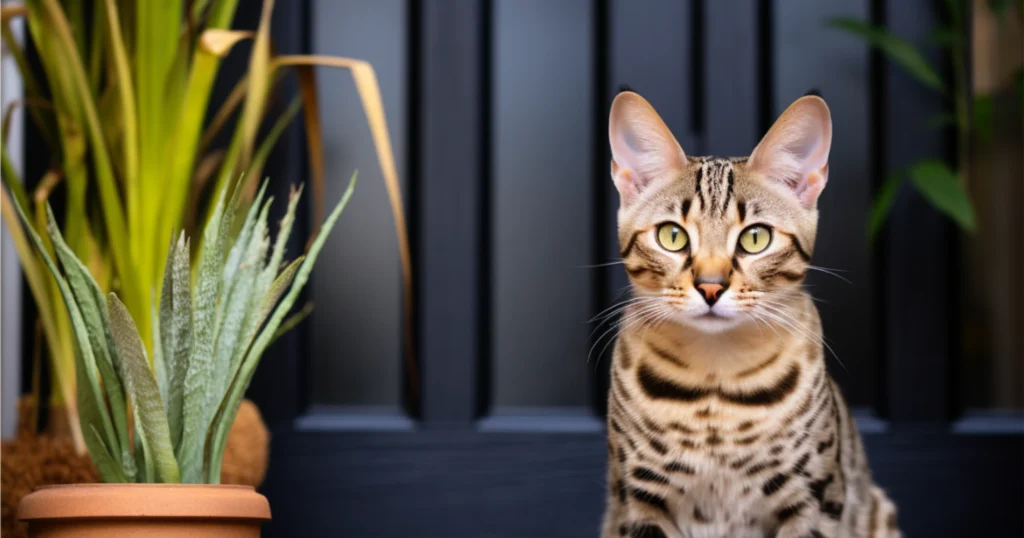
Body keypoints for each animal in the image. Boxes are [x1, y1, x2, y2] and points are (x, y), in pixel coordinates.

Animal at [598, 92, 901, 536]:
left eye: (755, 238)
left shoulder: (813, 501)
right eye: (672, 236)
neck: (715, 382)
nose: (710, 286)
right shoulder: (638, 501)